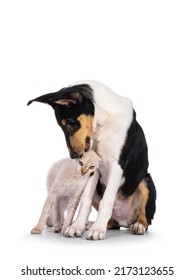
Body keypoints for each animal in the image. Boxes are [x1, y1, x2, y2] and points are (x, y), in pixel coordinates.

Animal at [28, 81, 157, 241]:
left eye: (70, 122)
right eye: (61, 125)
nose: (73, 155)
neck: (105, 120)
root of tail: (125, 220)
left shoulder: (117, 164)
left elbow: (107, 200)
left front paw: (97, 229)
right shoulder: (94, 167)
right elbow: (85, 201)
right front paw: (77, 227)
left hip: (146, 180)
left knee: (146, 218)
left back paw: (137, 226)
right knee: (113, 223)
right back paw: (89, 224)